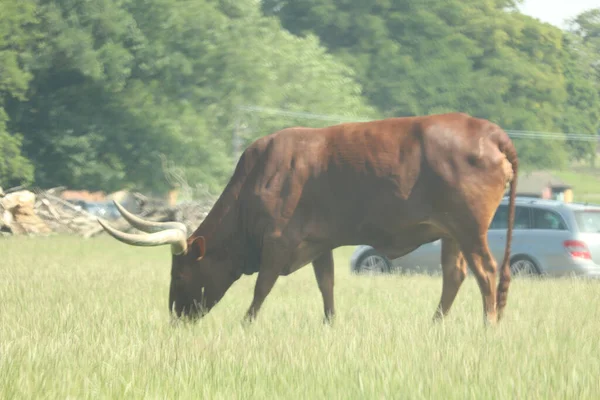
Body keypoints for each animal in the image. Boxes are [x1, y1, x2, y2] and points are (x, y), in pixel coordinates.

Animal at [98, 111, 516, 324]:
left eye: (180, 275)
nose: (176, 319)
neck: (257, 179)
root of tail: (491, 133)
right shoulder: (320, 243)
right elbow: (326, 285)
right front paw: (330, 324)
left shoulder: (277, 243)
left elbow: (261, 288)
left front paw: (246, 324)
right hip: (451, 232)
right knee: (455, 275)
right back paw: (436, 324)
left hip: (469, 227)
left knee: (486, 272)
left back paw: (488, 325)